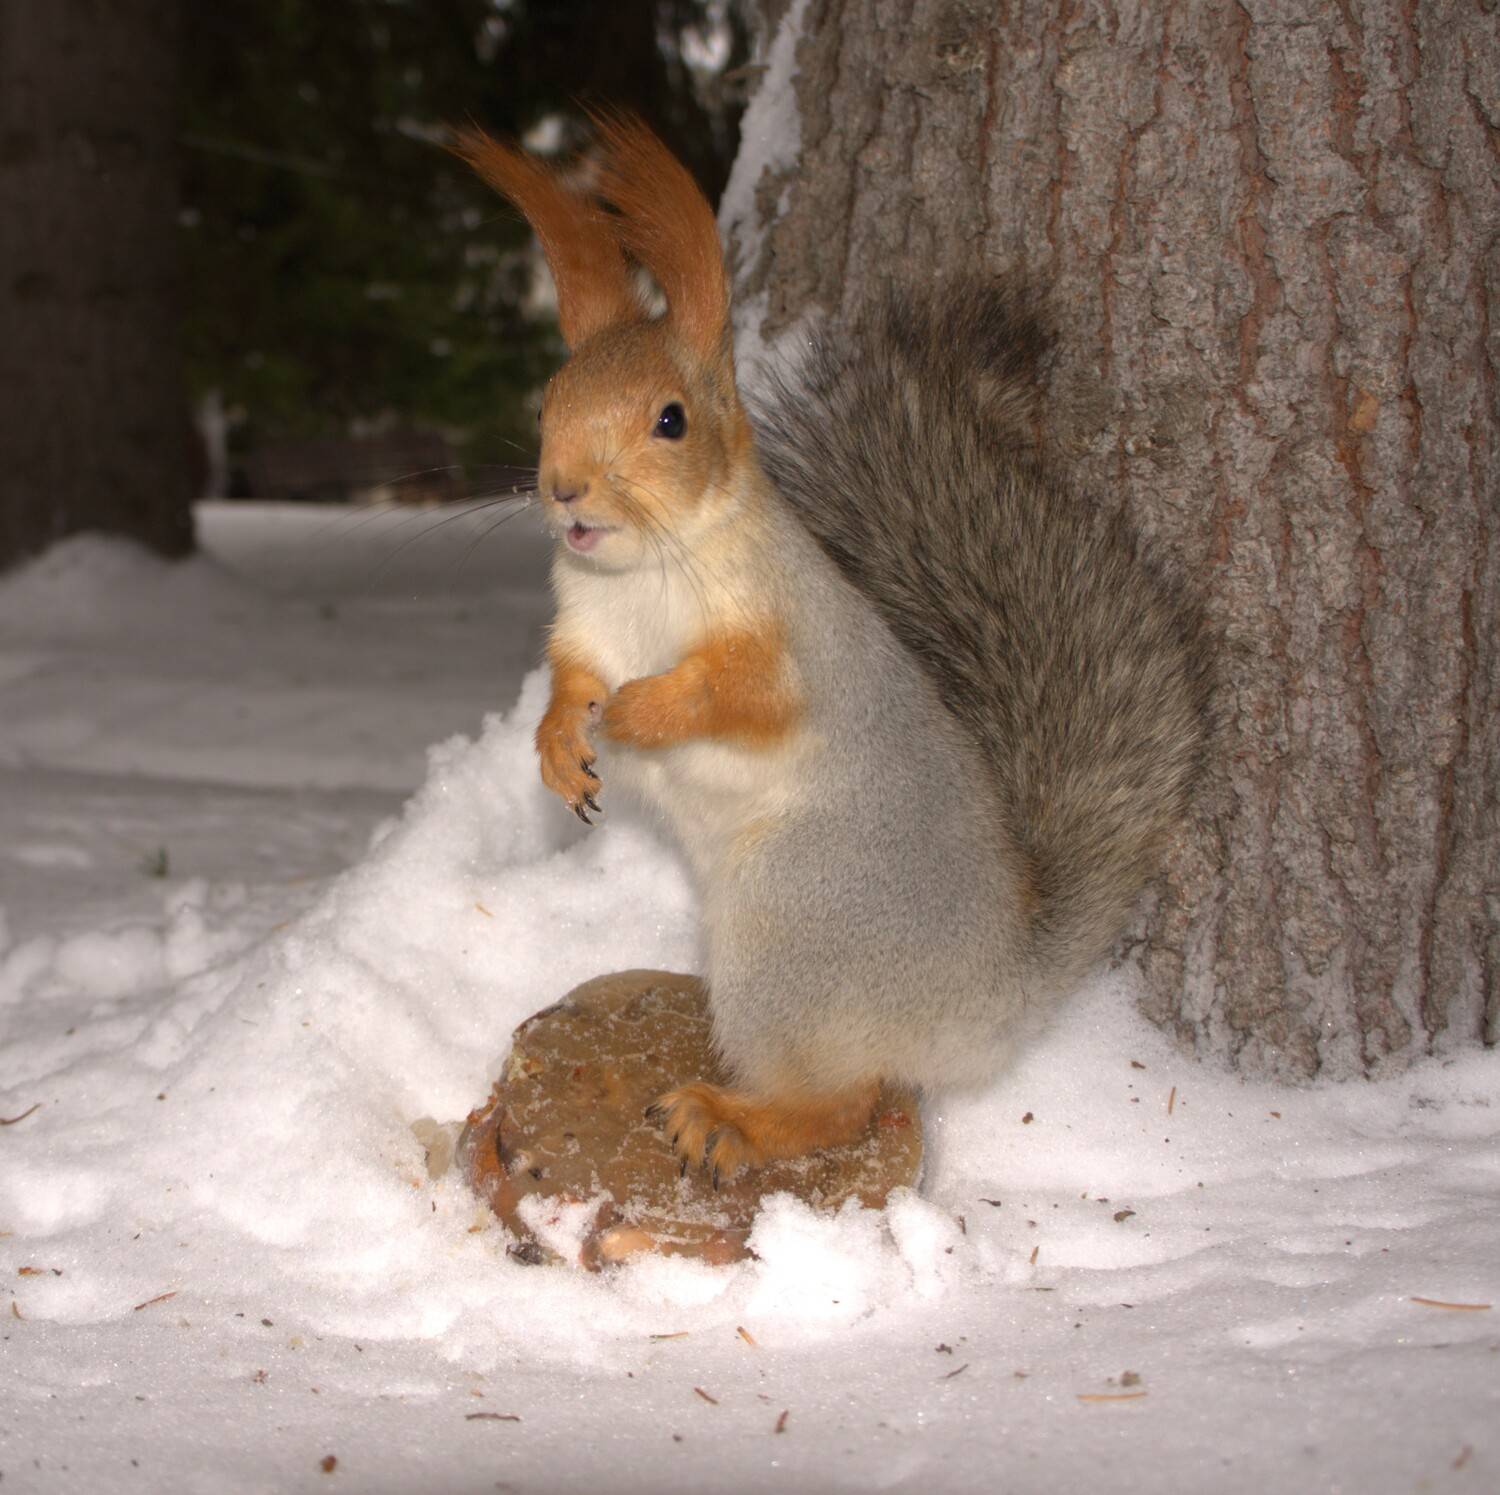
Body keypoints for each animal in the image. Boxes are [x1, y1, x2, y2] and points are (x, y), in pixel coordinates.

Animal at [452, 115, 1210, 1183]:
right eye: (549, 397)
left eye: (671, 419)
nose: (562, 491)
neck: (641, 577)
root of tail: (997, 997)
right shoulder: (584, 624)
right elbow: (570, 680)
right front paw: (564, 745)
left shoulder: (790, 643)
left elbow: (738, 695)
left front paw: (644, 710)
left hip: (791, 925)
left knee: (847, 1100)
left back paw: (731, 1121)